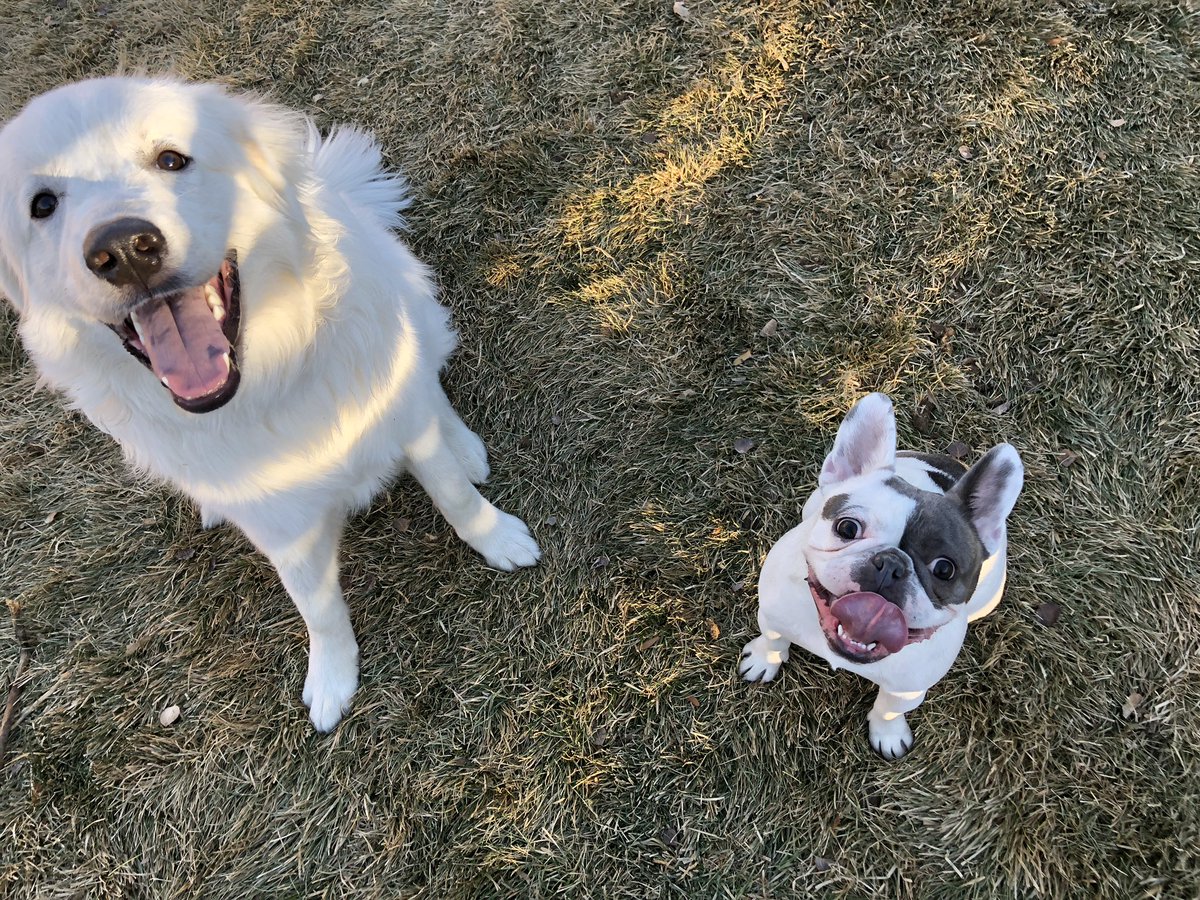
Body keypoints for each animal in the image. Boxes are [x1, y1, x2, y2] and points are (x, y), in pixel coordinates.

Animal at [0, 79, 540, 734]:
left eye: (171, 159)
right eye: (42, 205)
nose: (124, 249)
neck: (265, 384)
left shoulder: (403, 423)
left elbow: (454, 495)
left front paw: (499, 539)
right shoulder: (278, 526)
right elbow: (317, 606)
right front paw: (332, 676)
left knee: (429, 379)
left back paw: (465, 446)